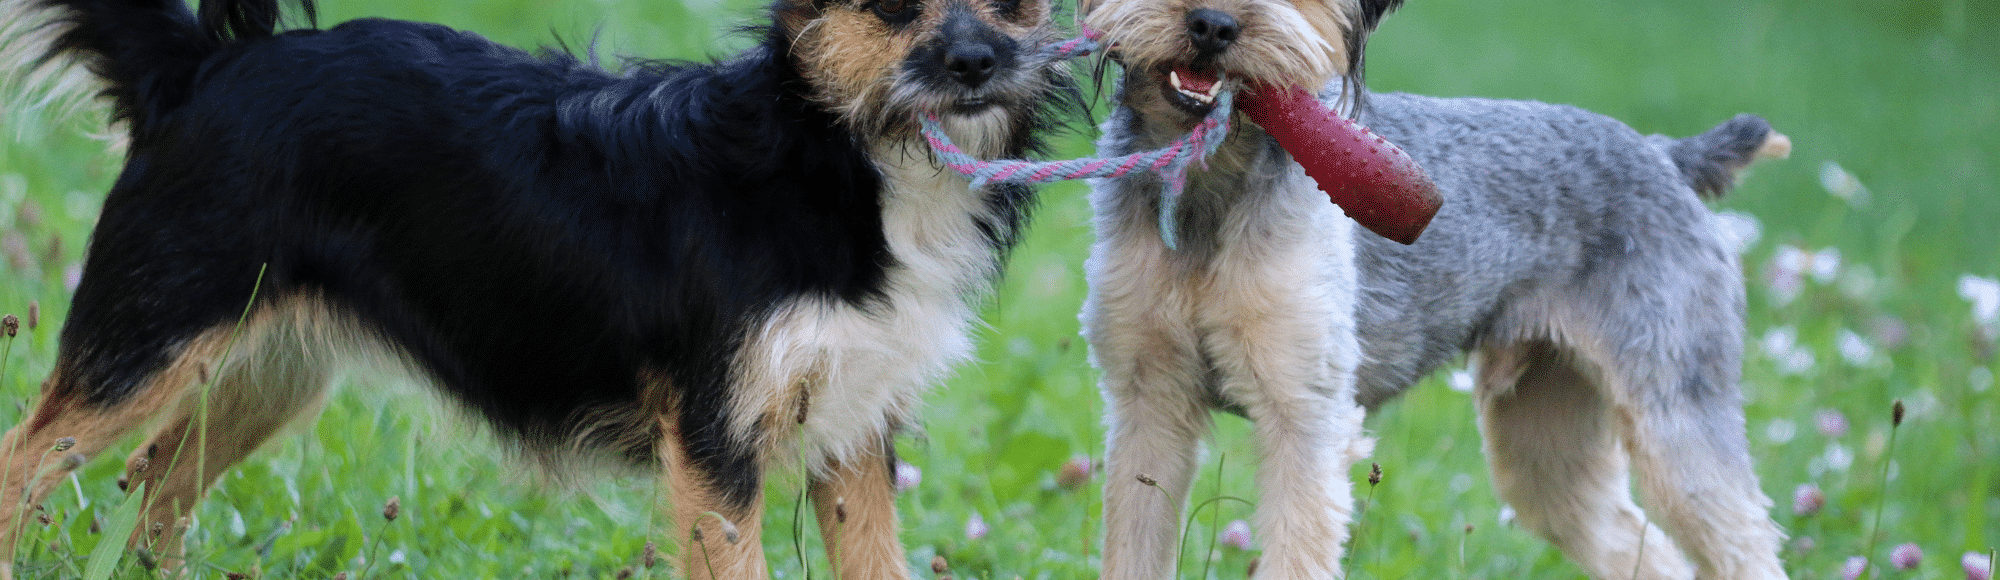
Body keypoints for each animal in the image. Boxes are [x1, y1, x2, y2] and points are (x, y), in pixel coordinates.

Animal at [0, 0, 1080, 572]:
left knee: (158, 484)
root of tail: (203, 65)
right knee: (25, 462)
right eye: (892, 2)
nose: (977, 60)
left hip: (271, 368)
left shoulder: (854, 434)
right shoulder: (717, 446)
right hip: (145, 341)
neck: (839, 156)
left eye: (1015, 3)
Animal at [1080, 0, 1800, 576]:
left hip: (1675, 414)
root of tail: (1666, 156)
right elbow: (1132, 545)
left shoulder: (1305, 416)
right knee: (1635, 543)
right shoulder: (1149, 407)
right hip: (1546, 440)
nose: (1211, 25)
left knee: (1742, 541)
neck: (1208, 183)